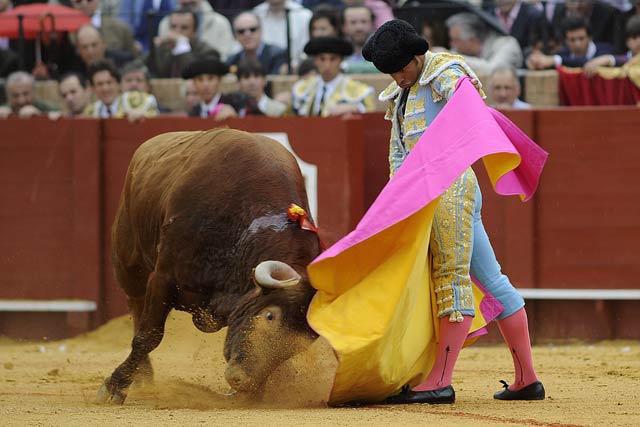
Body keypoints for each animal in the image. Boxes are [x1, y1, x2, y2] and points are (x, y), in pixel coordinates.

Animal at [95, 128, 322, 404]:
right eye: (269, 316)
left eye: (301, 344)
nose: (242, 382)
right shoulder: (164, 277)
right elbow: (149, 335)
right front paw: (113, 387)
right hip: (127, 258)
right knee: (136, 305)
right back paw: (142, 377)